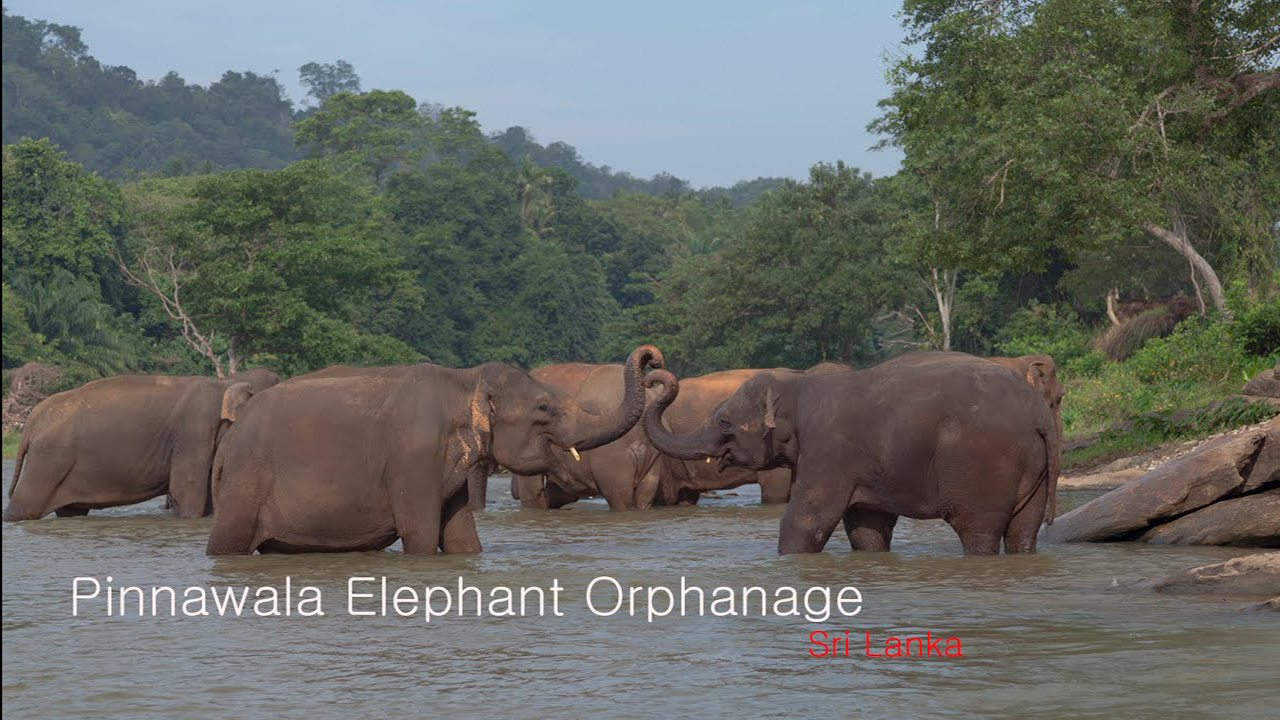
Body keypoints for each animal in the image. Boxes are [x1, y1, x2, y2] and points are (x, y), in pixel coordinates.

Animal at [5, 366, 280, 517]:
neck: (227, 382)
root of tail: (32, 420)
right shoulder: (193, 432)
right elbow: (188, 490)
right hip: (48, 459)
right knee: (24, 504)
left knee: (71, 510)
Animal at [204, 345, 665, 550]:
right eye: (544, 407)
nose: (653, 358)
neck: (466, 380)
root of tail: (230, 440)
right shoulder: (413, 459)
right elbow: (421, 531)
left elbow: (461, 533)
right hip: (247, 482)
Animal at [645, 351, 1054, 550]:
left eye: (725, 421)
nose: (655, 369)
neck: (798, 382)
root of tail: (1040, 416)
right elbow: (866, 527)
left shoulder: (828, 452)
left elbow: (806, 521)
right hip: (1035, 468)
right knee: (1024, 530)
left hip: (981, 466)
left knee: (977, 529)